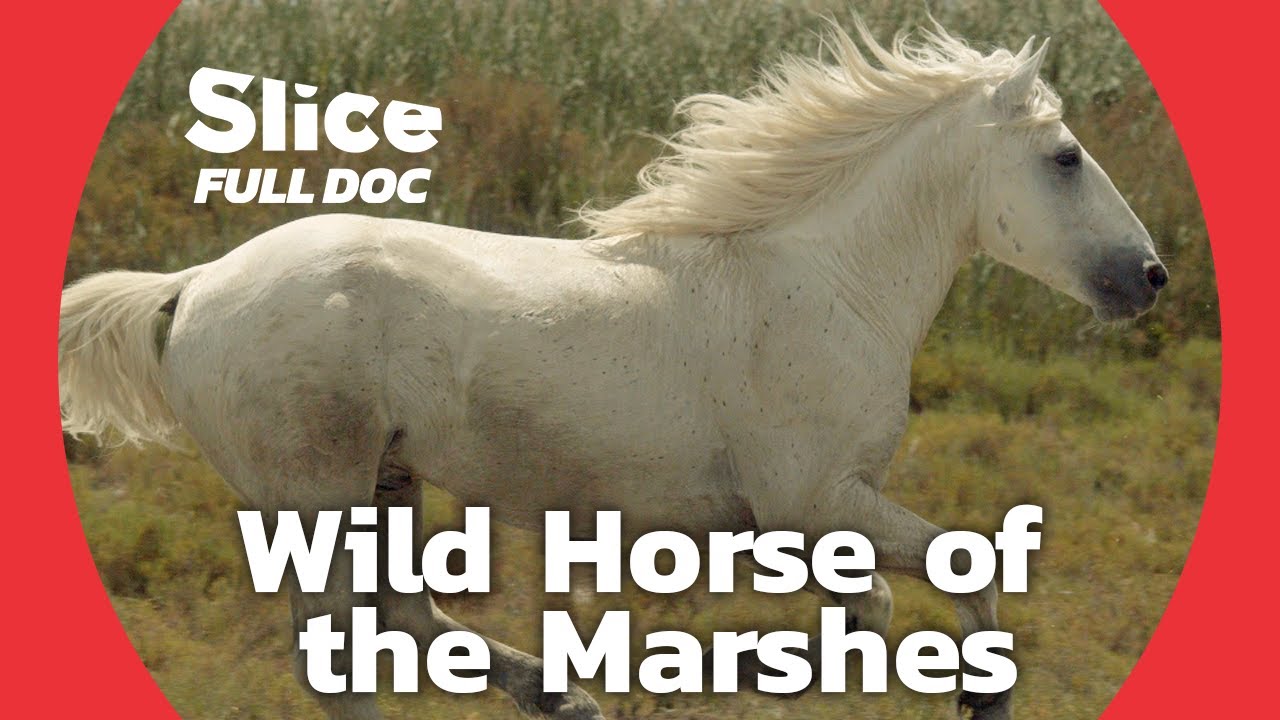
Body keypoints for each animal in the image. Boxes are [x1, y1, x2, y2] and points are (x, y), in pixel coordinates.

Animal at [58, 19, 1165, 720]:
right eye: (1065, 157)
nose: (1149, 277)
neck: (824, 283)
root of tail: (197, 284)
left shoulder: (814, 518)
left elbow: (889, 605)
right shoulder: (813, 502)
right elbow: (943, 578)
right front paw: (974, 694)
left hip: (385, 479)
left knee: (400, 620)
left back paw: (566, 697)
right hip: (315, 492)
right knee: (338, 652)